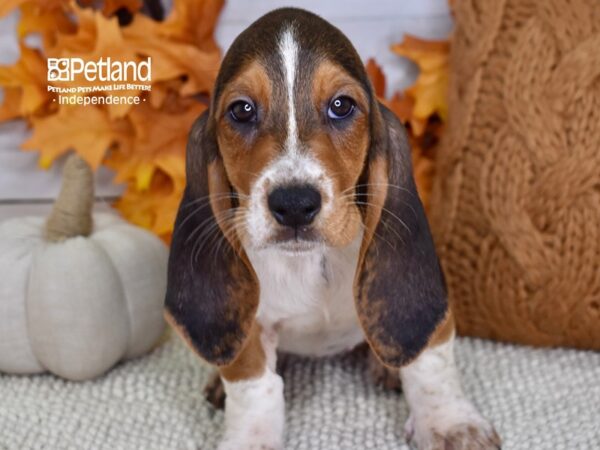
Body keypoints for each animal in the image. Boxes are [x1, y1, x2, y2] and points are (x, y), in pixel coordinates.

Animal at [165, 7, 502, 450]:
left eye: (341, 106)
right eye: (241, 110)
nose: (294, 204)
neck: (313, 262)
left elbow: (431, 364)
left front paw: (451, 424)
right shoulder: (248, 328)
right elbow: (254, 386)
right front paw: (252, 438)